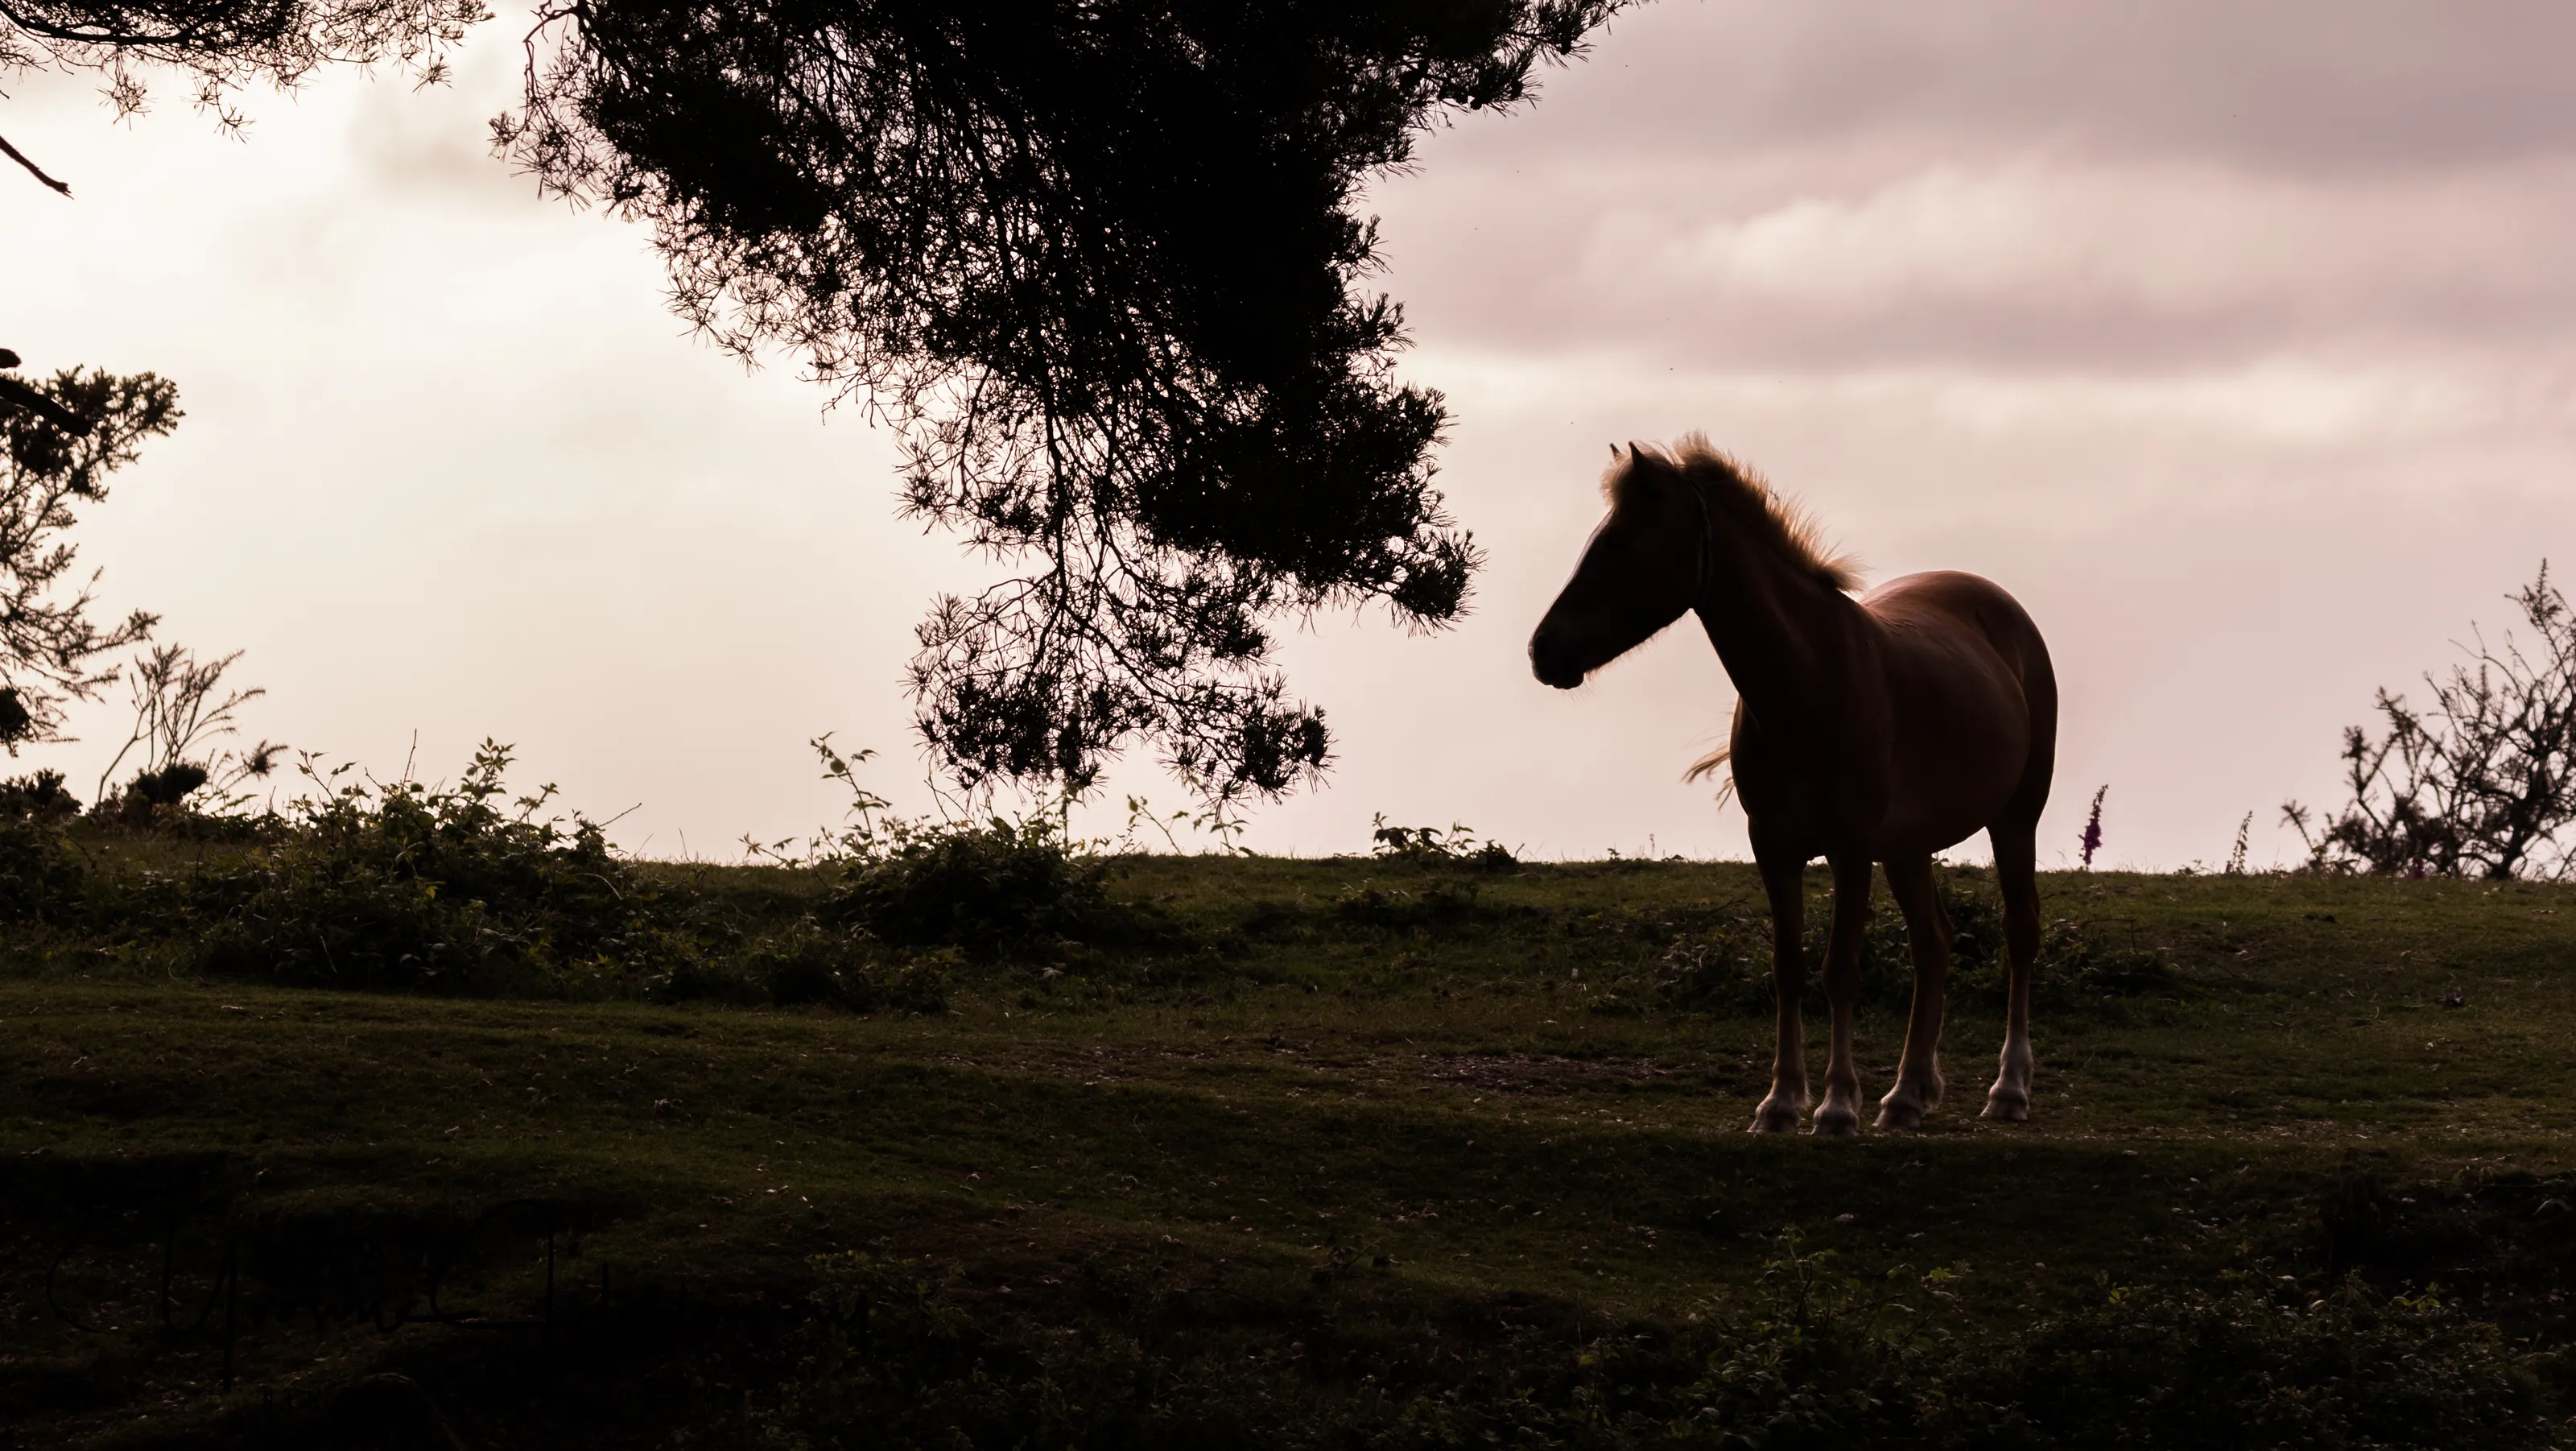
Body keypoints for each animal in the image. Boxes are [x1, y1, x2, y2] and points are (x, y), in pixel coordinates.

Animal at [1529, 438, 2057, 1135]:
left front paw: (1835, 1105)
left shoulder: (1851, 848)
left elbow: (1840, 971)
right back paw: (1907, 1094)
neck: (1808, 678)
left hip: (2014, 819)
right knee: (1933, 944)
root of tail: (2005, 612)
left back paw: (2008, 1089)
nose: (1543, 650)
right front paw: (1780, 1102)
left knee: (2019, 932)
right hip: (1908, 847)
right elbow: (1788, 968)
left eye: (1618, 542)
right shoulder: (1774, 848)